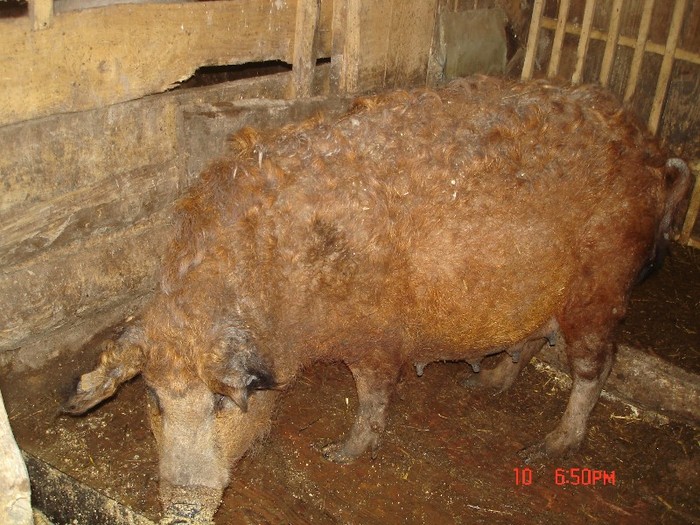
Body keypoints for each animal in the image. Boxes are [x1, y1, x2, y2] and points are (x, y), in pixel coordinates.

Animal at [63, 75, 692, 520]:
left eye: (220, 404)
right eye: (154, 400)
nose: (181, 508)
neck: (285, 290)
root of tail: (656, 152)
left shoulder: (374, 336)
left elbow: (373, 395)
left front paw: (336, 454)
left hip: (602, 284)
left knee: (595, 366)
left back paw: (544, 449)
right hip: (540, 292)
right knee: (531, 342)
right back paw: (482, 385)